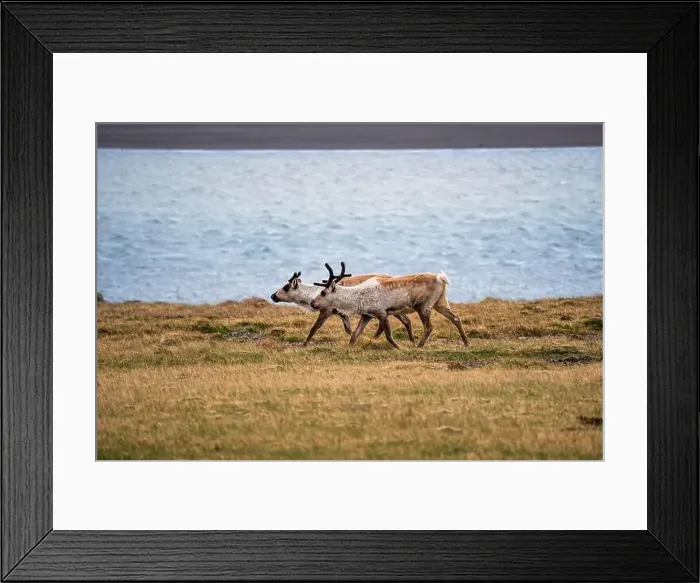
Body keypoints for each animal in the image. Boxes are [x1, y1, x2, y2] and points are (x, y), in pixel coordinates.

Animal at [270, 265, 415, 346]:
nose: (272, 296)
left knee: (404, 320)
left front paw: (305, 344)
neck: (313, 293)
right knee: (404, 321)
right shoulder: (342, 313)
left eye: (286, 287)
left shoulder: (326, 311)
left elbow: (314, 328)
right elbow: (348, 329)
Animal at [309, 262, 470, 350]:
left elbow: (388, 336)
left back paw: (418, 346)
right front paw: (348, 348)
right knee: (456, 318)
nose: (312, 303)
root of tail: (441, 278)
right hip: (440, 302)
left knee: (429, 327)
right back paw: (467, 343)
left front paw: (401, 348)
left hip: (423, 306)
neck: (359, 296)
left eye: (323, 292)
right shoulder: (367, 315)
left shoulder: (382, 313)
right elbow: (355, 335)